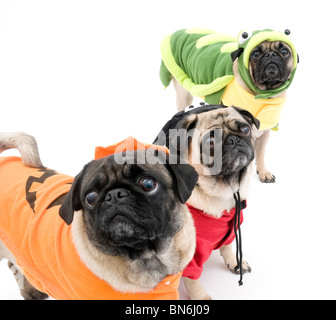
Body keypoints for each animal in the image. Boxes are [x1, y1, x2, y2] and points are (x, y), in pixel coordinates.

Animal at [154, 104, 258, 300]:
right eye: (210, 141)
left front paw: (235, 263)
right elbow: (193, 280)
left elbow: (228, 247)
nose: (234, 140)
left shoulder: (232, 230)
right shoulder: (190, 254)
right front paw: (201, 298)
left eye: (245, 129)